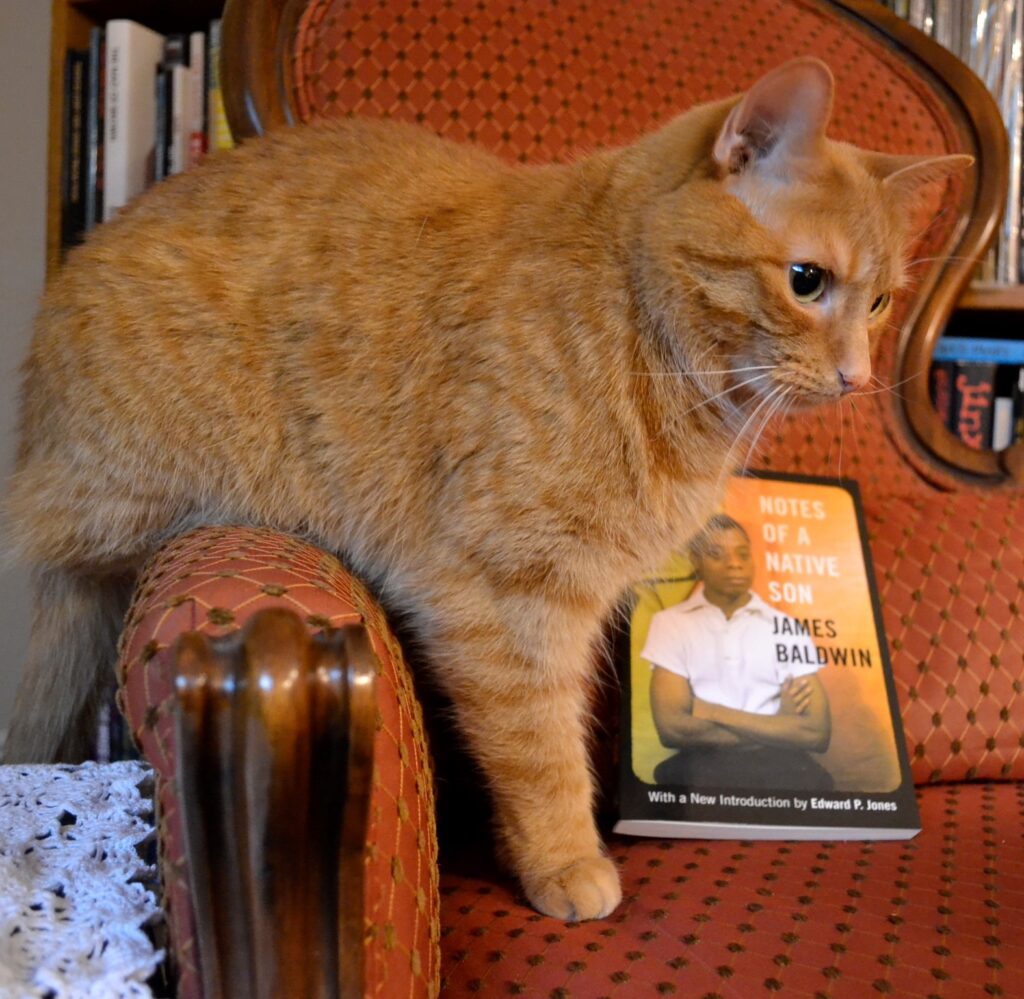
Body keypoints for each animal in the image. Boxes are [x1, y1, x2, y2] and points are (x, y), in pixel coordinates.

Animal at [4, 60, 966, 921]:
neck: (638, 332)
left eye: (880, 304)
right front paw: (566, 860)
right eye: (807, 281)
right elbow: (541, 750)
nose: (856, 376)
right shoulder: (504, 599)